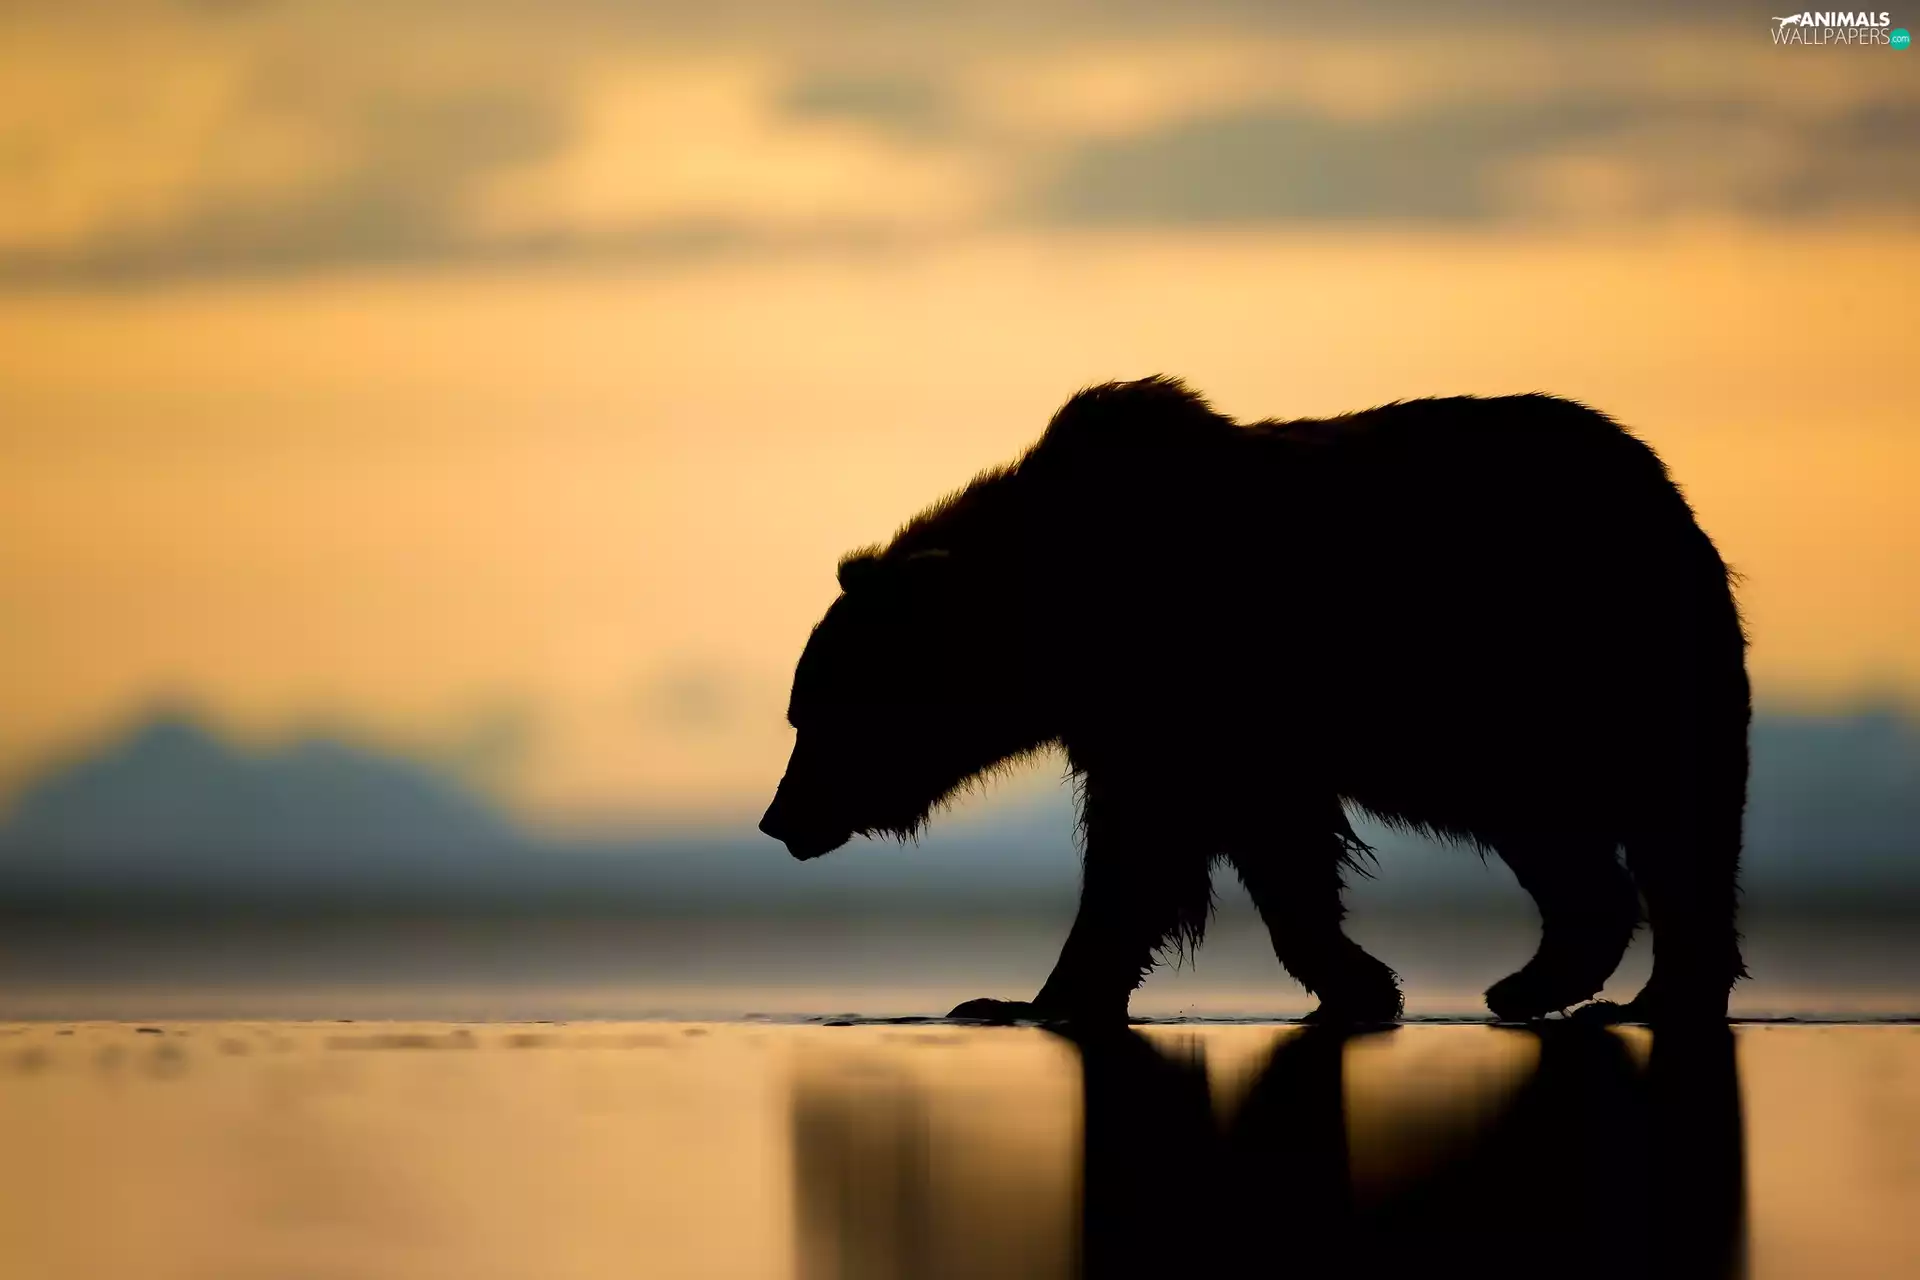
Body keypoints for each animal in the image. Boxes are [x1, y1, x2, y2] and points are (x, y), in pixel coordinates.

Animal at [758, 377, 1750, 1024]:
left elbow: (1155, 848)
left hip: (1598, 671)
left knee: (1676, 829)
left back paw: (1643, 995)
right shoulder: (1161, 720)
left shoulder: (1199, 689)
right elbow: (1252, 846)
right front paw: (1360, 982)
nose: (778, 819)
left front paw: (1021, 999)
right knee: (1574, 842)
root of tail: (1664, 487)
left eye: (814, 717)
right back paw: (1545, 981)